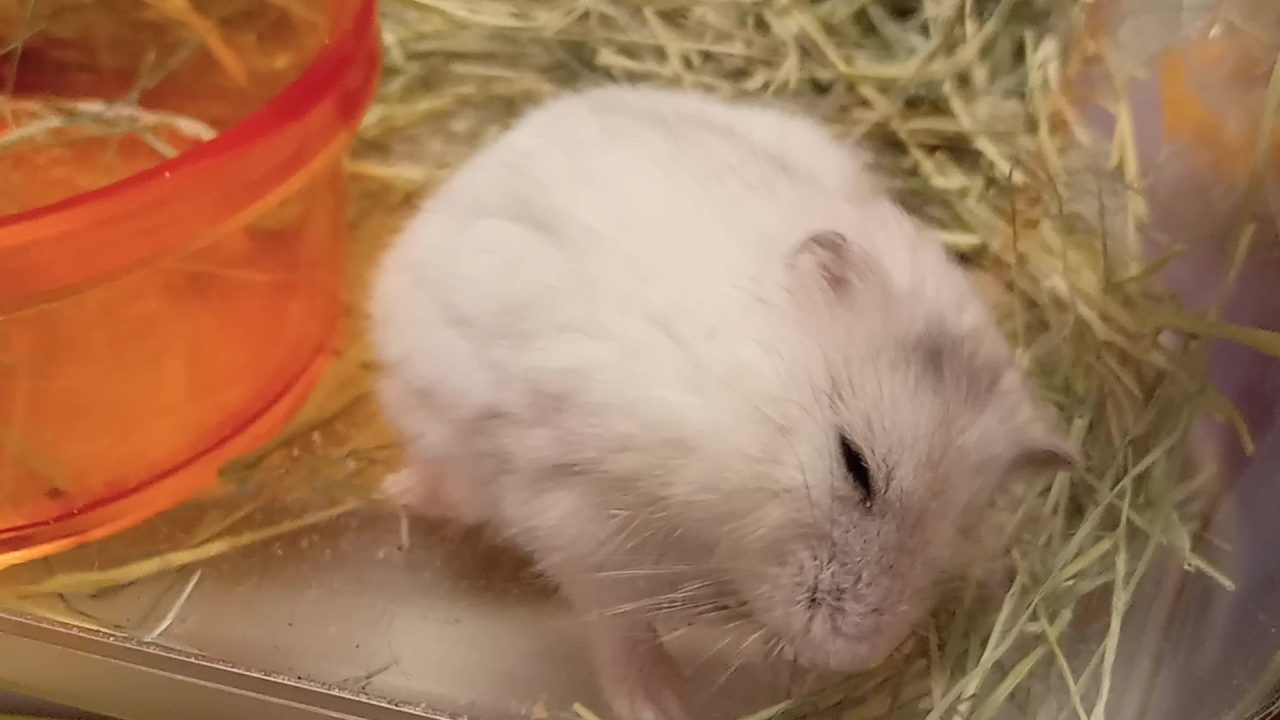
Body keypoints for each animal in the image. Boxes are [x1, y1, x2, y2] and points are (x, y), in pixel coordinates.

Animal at [370, 85, 1075, 720]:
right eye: (855, 465)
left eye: (960, 525)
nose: (851, 656)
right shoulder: (575, 516)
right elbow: (615, 622)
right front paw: (659, 706)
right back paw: (398, 491)